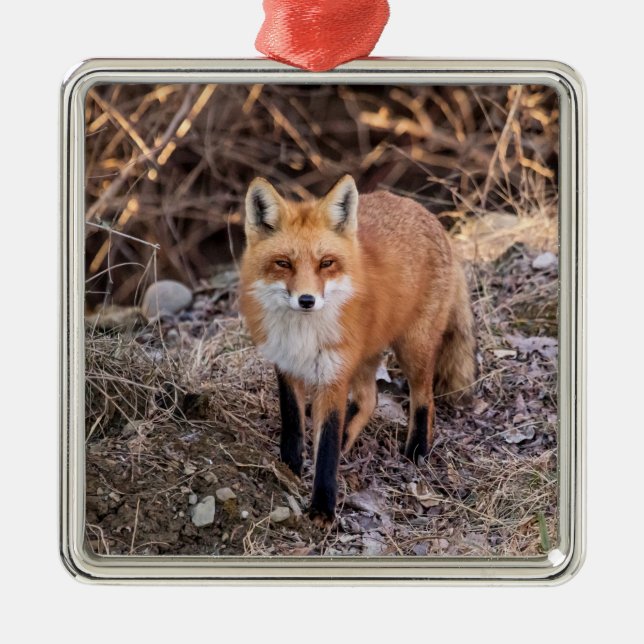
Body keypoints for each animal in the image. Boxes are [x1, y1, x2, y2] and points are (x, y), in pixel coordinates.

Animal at [239, 175, 477, 526]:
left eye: (326, 263)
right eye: (283, 264)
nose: (307, 300)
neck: (303, 334)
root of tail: (425, 212)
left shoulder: (334, 376)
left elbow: (326, 447)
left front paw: (322, 508)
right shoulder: (286, 365)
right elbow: (293, 423)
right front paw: (290, 466)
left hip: (412, 348)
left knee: (425, 398)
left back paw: (417, 450)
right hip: (364, 356)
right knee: (369, 399)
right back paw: (349, 438)